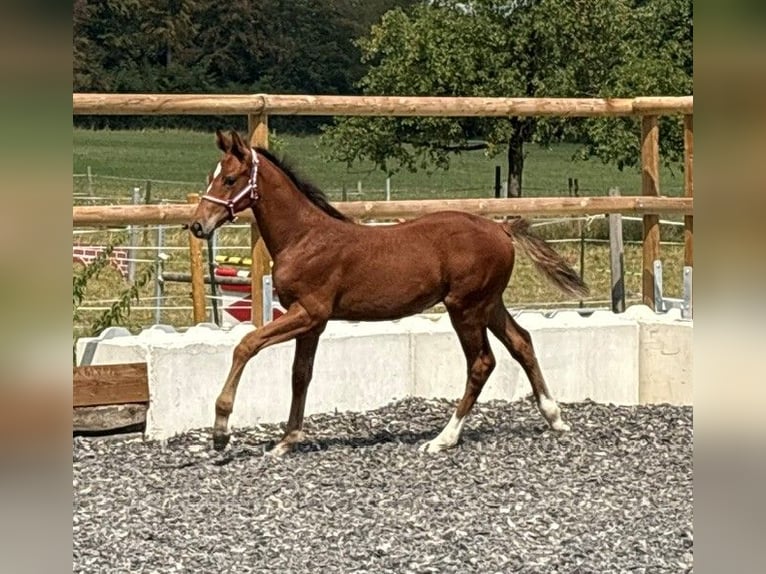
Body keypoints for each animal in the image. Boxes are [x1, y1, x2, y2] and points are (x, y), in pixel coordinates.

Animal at [189, 130, 588, 456]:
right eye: (211, 178)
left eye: (229, 179)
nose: (197, 225)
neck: (303, 238)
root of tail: (502, 228)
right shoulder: (311, 322)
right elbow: (300, 374)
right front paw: (287, 441)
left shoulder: (309, 311)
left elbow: (247, 345)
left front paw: (221, 431)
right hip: (488, 304)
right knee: (522, 342)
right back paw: (554, 417)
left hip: (464, 307)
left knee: (481, 363)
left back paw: (443, 439)